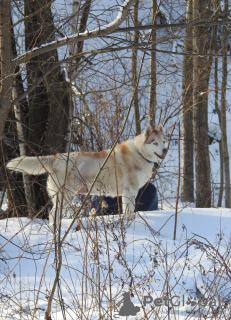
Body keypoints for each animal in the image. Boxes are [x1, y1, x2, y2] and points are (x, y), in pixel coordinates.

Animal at [6, 124, 167, 224]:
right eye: (155, 143)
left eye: (164, 141)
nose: (165, 150)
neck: (139, 153)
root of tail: (56, 157)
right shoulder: (130, 191)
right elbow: (130, 212)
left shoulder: (125, 193)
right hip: (66, 196)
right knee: (53, 214)